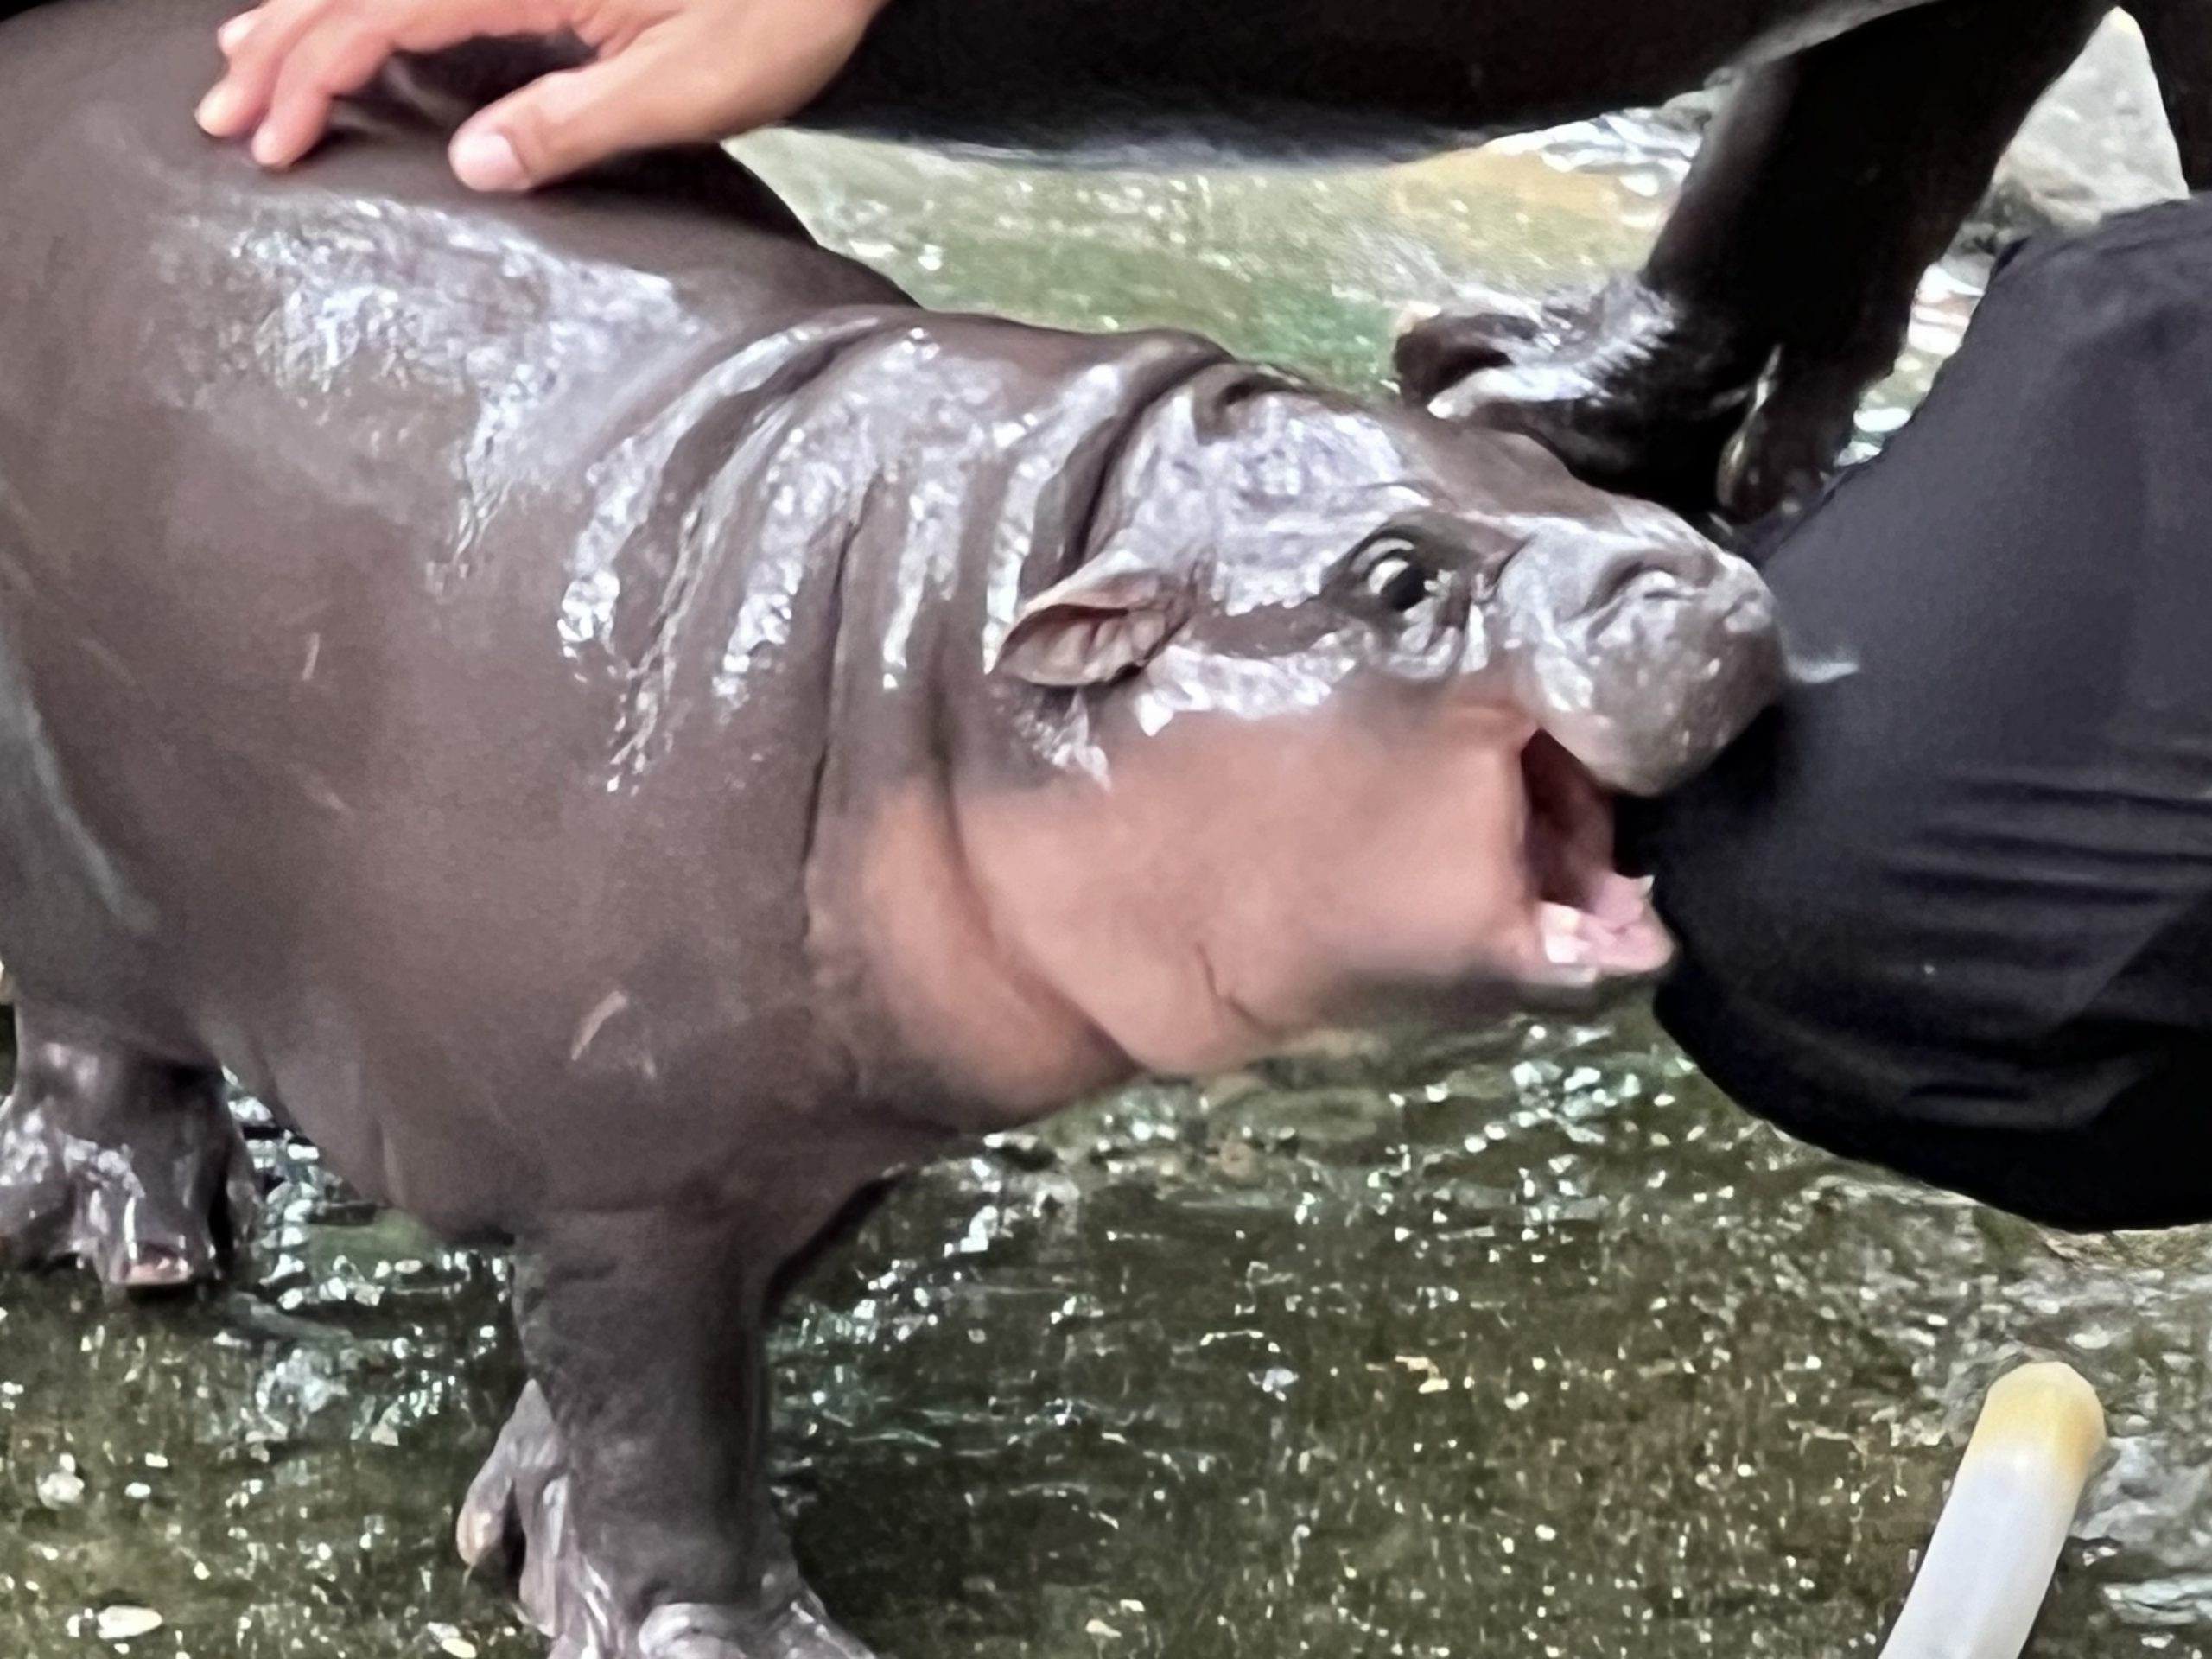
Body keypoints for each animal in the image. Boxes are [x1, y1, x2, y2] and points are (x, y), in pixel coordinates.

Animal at [0, 3, 1778, 1659]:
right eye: (1398, 575)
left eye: (1514, 442)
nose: (1709, 578)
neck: (957, 621)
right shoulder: (633, 1187)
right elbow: (667, 1431)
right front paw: (729, 1632)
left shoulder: (823, 1126)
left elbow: (668, 1380)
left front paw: (529, 1515)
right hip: (73, 853)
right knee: (96, 1032)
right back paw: (136, 1241)